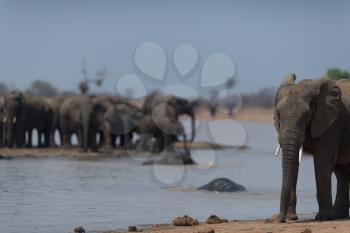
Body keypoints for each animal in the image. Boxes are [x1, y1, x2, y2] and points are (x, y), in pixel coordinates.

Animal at [274, 74, 350, 222]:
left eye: (306, 115)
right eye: (278, 114)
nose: (280, 219)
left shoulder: (331, 123)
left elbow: (322, 162)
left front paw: (323, 218)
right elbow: (293, 164)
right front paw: (292, 218)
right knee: (342, 173)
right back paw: (339, 215)